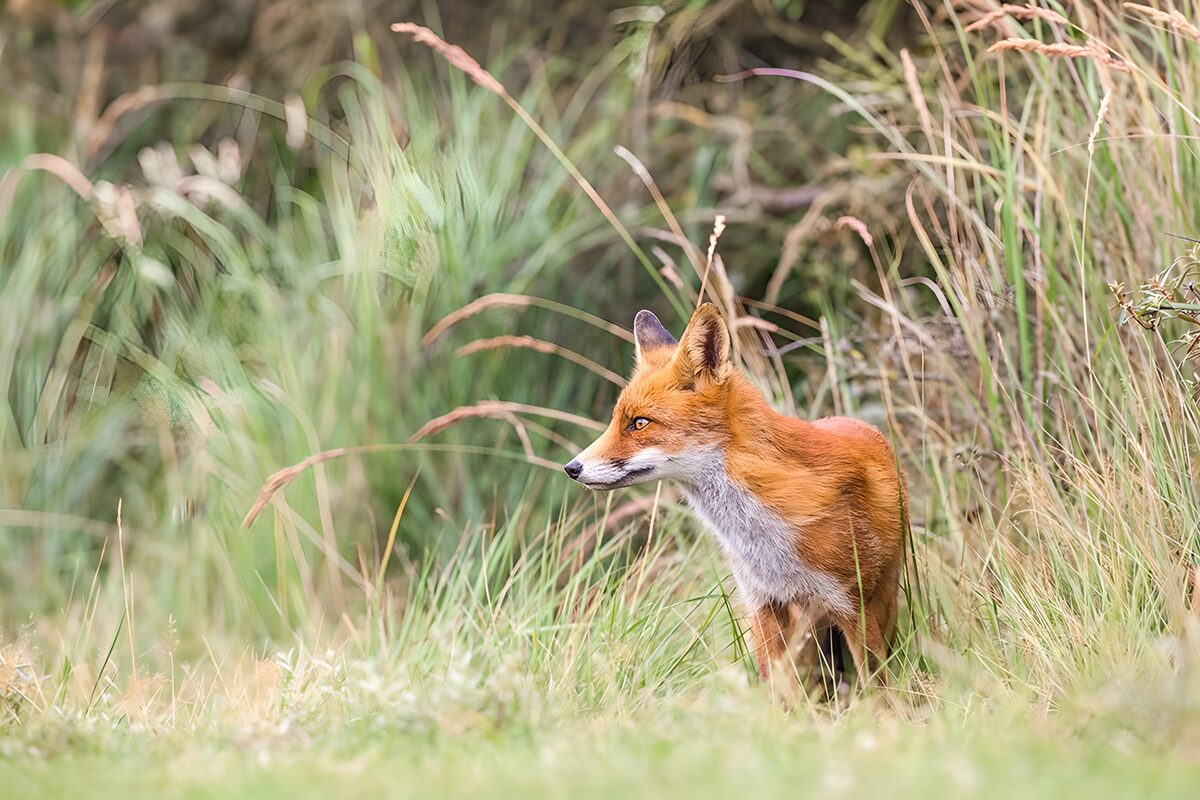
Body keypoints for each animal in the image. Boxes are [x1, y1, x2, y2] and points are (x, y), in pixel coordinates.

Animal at [564, 304, 907, 688]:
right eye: (615, 421)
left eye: (639, 423)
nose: (572, 468)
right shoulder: (761, 604)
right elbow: (776, 689)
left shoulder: (853, 605)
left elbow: (877, 688)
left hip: (879, 604)